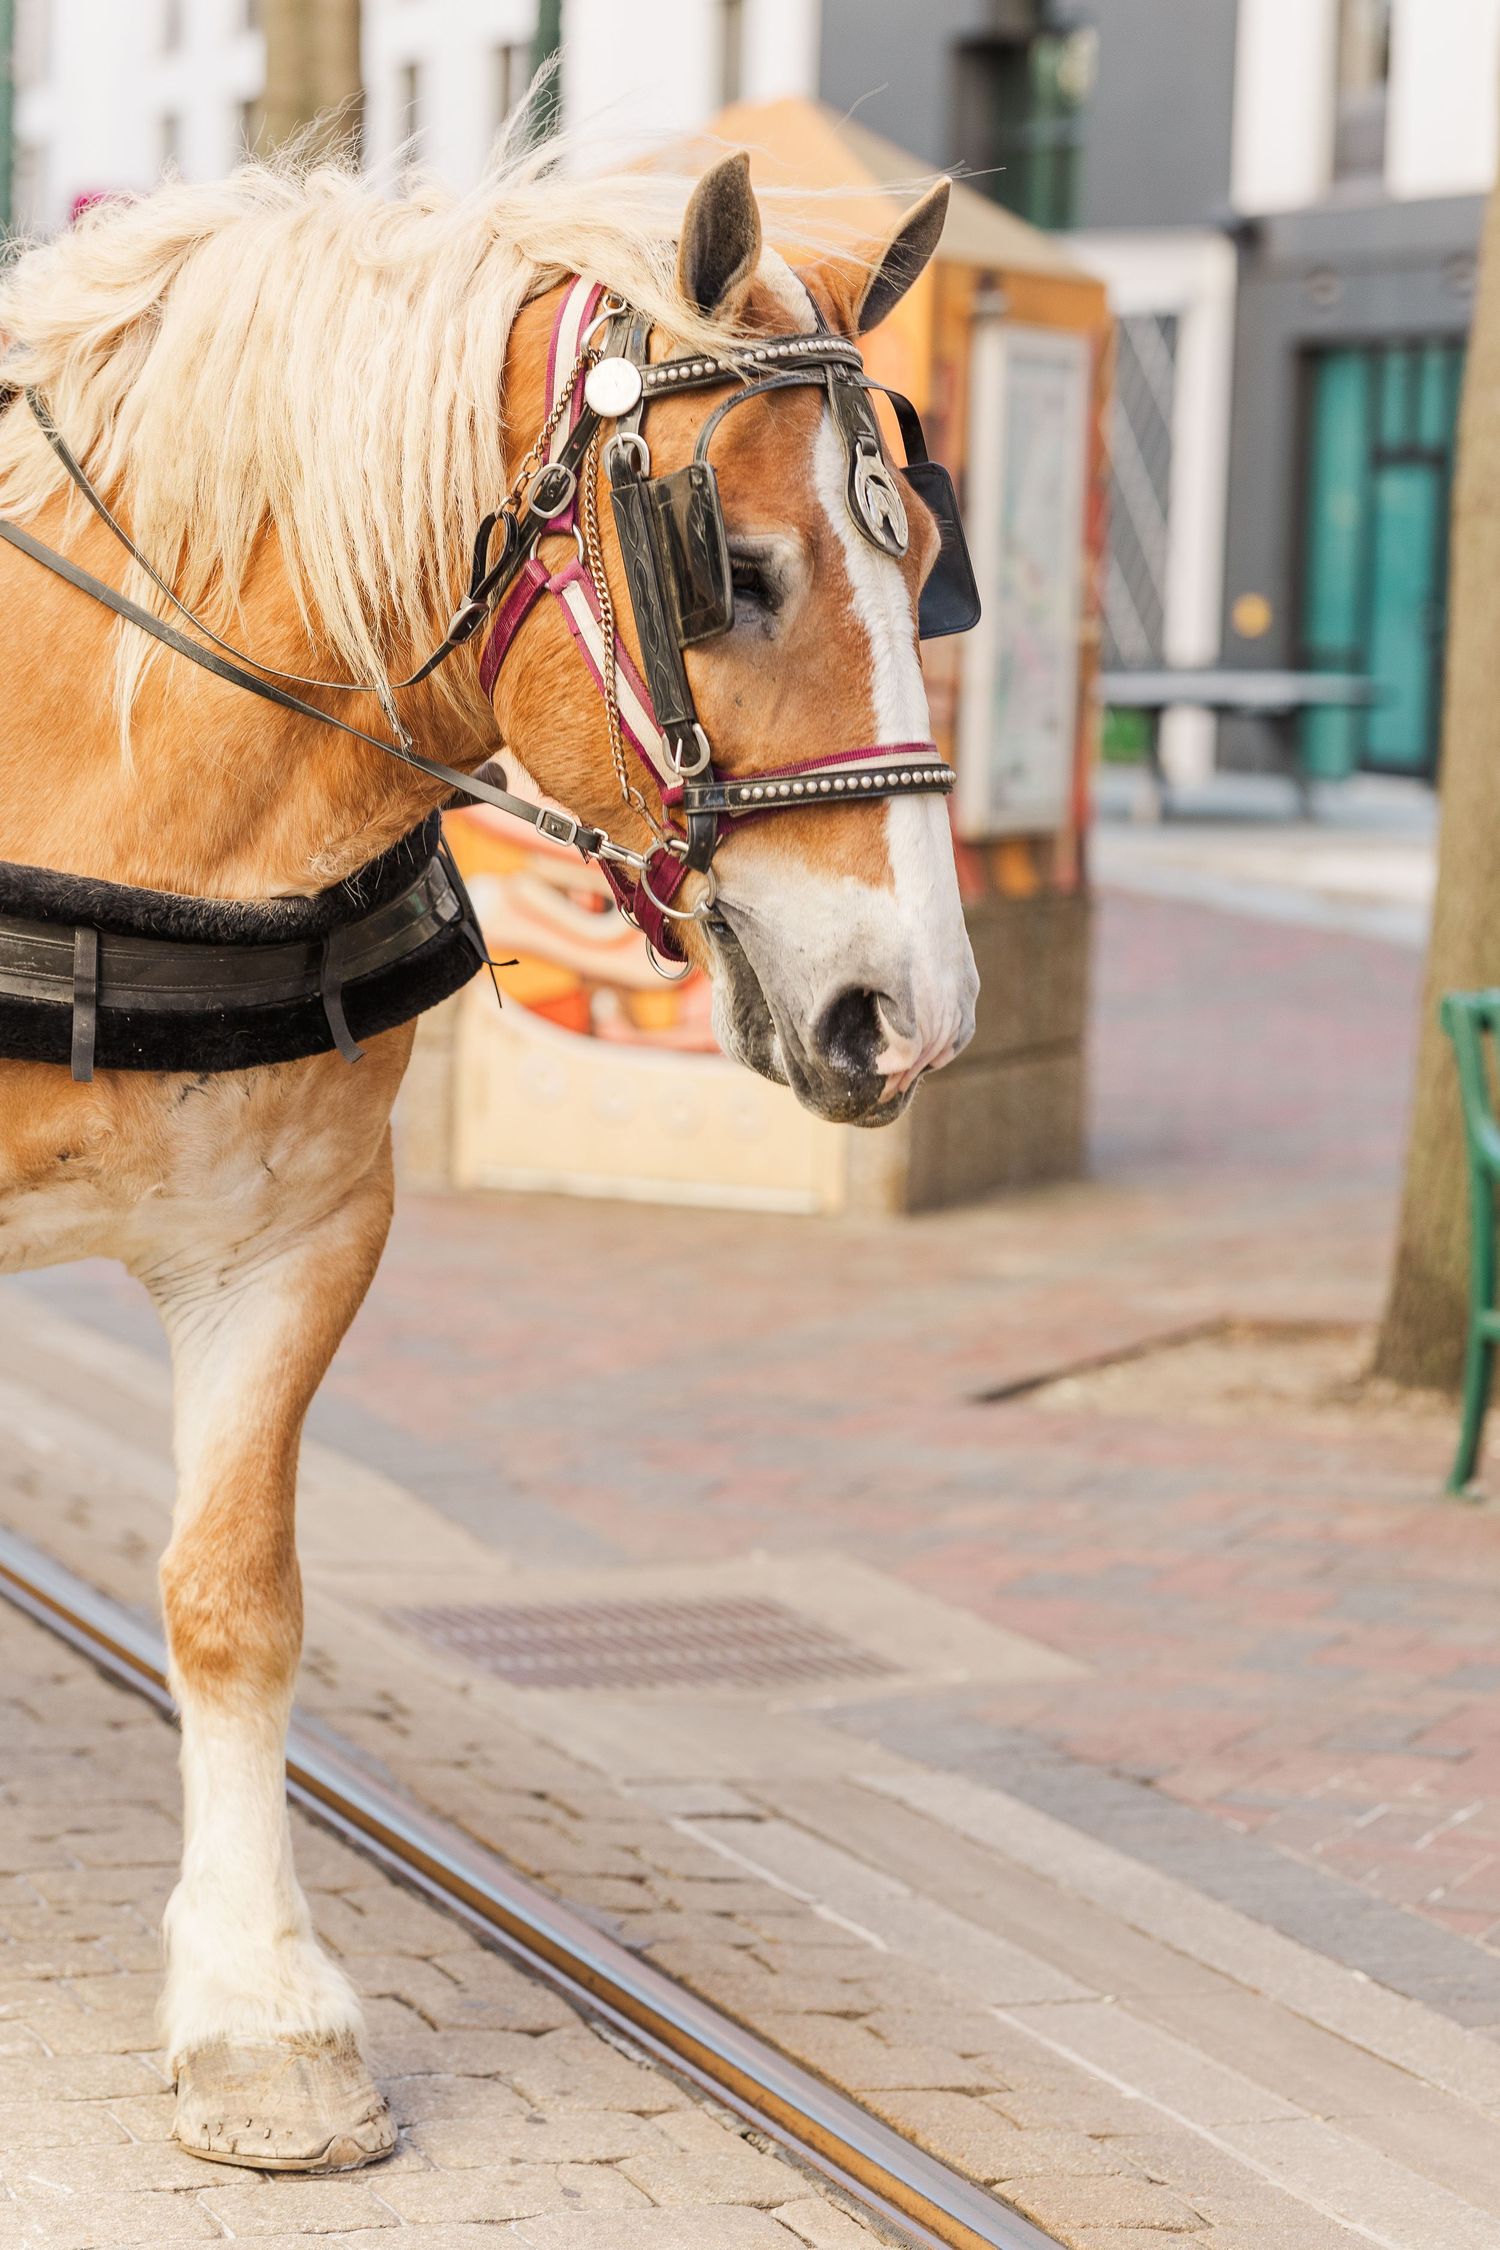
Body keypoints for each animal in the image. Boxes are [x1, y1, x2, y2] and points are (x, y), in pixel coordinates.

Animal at [0, 145, 978, 2168]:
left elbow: (232, 1598)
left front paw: (260, 2014)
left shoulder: (294, 1235)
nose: (912, 1012)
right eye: (734, 571)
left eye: (926, 565)